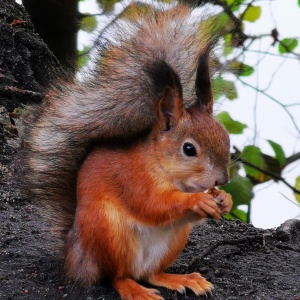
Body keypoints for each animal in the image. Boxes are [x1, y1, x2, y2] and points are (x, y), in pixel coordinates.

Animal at [24, 4, 233, 300]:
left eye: (226, 138)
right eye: (189, 149)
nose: (221, 180)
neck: (162, 166)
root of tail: (76, 256)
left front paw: (225, 199)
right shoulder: (133, 178)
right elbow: (152, 205)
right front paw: (197, 200)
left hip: (174, 240)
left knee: (151, 273)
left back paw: (180, 278)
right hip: (108, 234)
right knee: (116, 276)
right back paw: (134, 289)